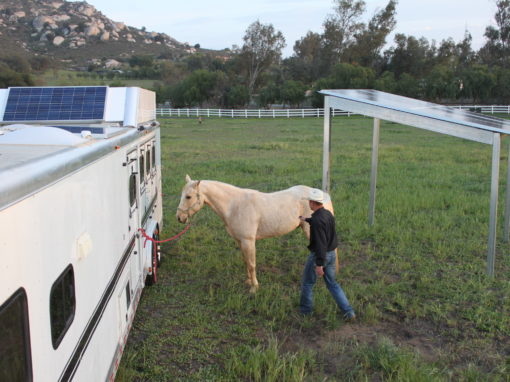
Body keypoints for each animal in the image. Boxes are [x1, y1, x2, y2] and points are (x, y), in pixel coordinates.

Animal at [176, 175, 338, 294]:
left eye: (188, 196)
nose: (179, 218)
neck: (235, 206)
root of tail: (324, 195)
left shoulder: (248, 241)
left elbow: (252, 264)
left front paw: (254, 287)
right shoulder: (240, 241)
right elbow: (246, 261)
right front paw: (248, 281)